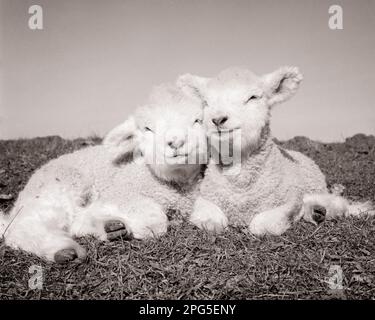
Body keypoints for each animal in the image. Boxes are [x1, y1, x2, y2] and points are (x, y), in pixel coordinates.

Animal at [0, 84, 207, 262]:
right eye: (147, 128)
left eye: (197, 121)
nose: (176, 142)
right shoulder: (121, 194)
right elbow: (155, 223)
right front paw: (145, 227)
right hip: (62, 186)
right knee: (22, 227)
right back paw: (64, 250)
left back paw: (109, 228)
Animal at [178, 66, 374, 235]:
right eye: (206, 102)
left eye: (253, 97)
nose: (218, 119)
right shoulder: (205, 198)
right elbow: (210, 221)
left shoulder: (288, 202)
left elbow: (260, 226)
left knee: (338, 203)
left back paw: (318, 210)